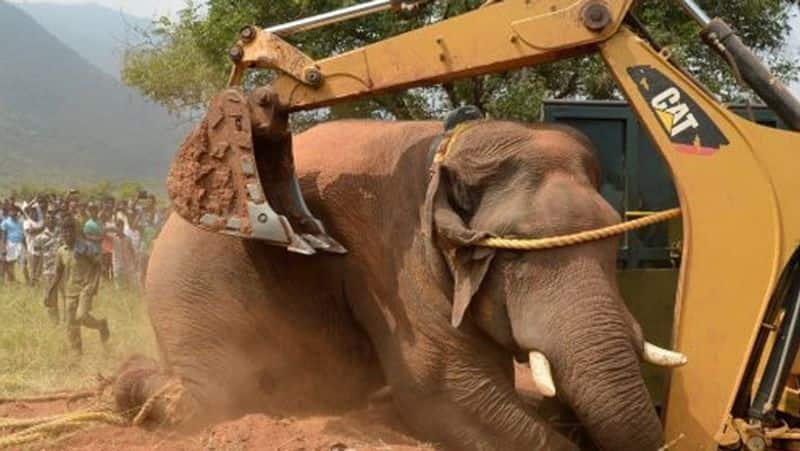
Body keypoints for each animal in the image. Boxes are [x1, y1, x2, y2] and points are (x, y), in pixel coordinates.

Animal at [115, 89, 684, 451]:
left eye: (614, 246)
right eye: (516, 253)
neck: (447, 145)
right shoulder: (394, 255)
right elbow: (449, 390)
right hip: (195, 293)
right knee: (209, 398)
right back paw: (132, 386)